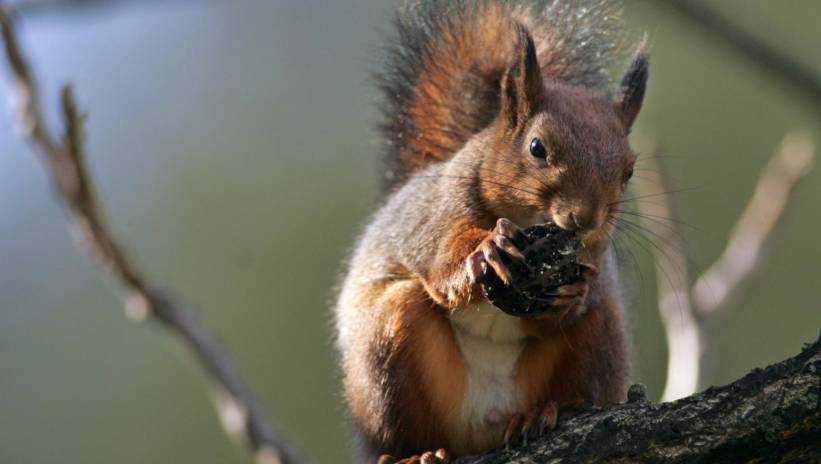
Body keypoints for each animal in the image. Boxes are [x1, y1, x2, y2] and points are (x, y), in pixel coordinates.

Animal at [334, 0, 648, 462]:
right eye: (537, 148)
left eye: (629, 171)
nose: (586, 218)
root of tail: (484, 427)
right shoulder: (436, 218)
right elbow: (444, 264)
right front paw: (484, 251)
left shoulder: (591, 257)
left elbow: (553, 317)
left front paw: (571, 292)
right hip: (385, 355)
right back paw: (418, 453)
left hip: (601, 337)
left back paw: (547, 412)